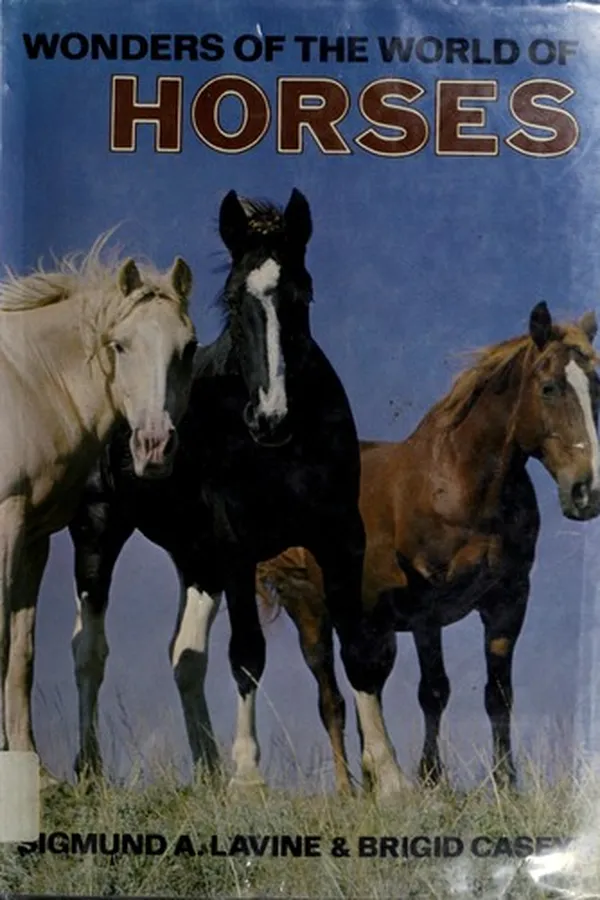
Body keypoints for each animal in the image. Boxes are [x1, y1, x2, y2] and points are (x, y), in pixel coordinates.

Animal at [0, 237, 196, 778]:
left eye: (188, 348)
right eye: (120, 345)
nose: (154, 446)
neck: (27, 381)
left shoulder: (33, 536)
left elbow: (21, 652)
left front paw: (32, 770)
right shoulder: (6, 523)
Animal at [68, 190, 393, 791]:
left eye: (302, 294)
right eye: (235, 298)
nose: (269, 419)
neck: (283, 451)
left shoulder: (340, 537)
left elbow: (358, 649)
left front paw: (390, 777)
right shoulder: (240, 547)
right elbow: (247, 654)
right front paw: (248, 778)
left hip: (197, 558)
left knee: (185, 655)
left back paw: (208, 771)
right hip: (99, 532)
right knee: (89, 648)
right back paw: (90, 768)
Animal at [257, 302, 600, 793]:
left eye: (596, 389)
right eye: (549, 387)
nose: (586, 492)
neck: (459, 485)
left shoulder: (509, 600)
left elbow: (498, 695)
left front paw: (504, 782)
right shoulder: (426, 611)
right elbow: (433, 691)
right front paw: (431, 778)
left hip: (368, 625)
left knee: (365, 688)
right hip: (309, 613)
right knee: (332, 701)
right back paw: (349, 790)